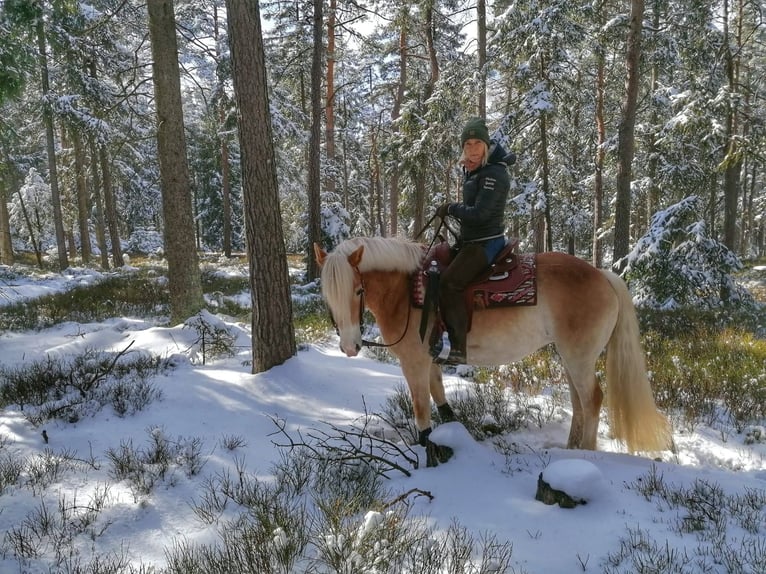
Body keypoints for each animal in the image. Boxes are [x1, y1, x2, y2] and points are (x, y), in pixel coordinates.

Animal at [312, 238, 672, 468]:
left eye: (358, 290)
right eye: (327, 293)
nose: (349, 346)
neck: (406, 292)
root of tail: (604, 275)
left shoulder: (413, 361)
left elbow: (421, 410)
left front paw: (428, 454)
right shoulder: (431, 360)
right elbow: (440, 397)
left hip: (579, 357)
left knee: (592, 399)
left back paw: (585, 455)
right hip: (570, 356)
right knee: (579, 402)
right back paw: (569, 450)